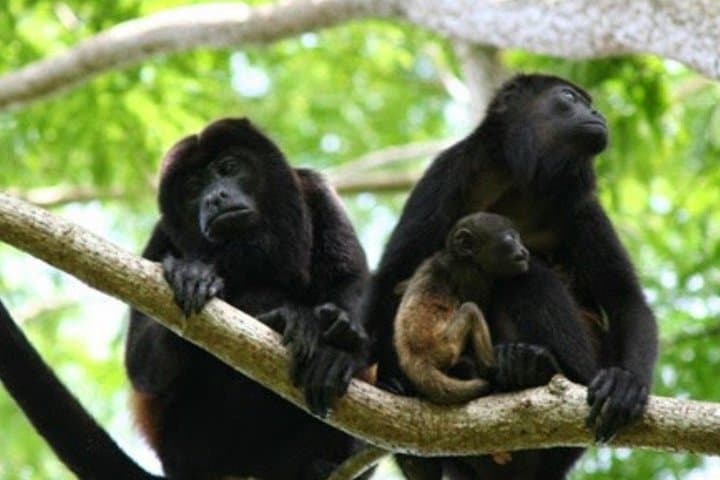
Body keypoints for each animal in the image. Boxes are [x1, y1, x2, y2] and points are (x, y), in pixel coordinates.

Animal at [394, 212, 529, 405]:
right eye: (511, 238)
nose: (524, 251)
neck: (456, 257)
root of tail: (415, 358)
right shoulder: (472, 276)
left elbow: (399, 287)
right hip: (444, 346)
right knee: (470, 308)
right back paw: (490, 367)